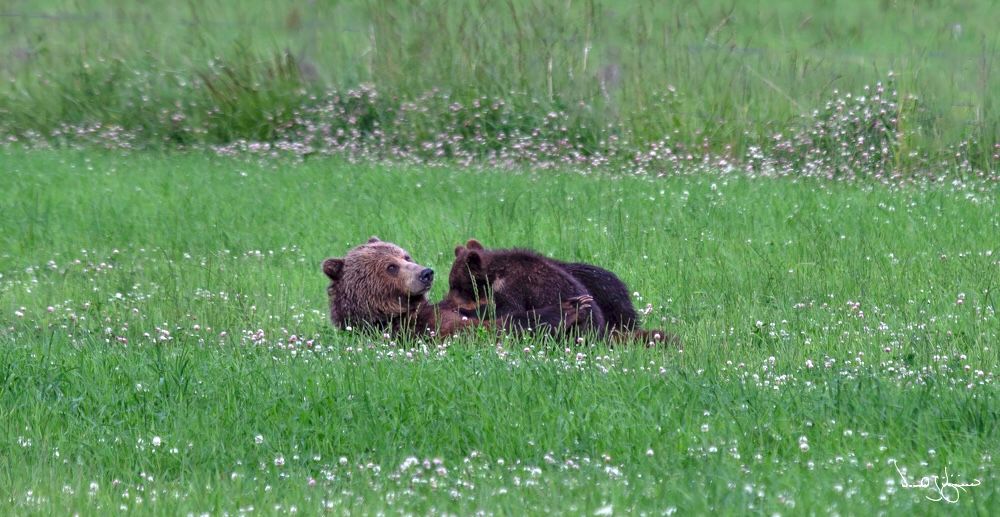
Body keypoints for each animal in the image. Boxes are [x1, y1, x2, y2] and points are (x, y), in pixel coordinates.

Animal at [448, 240, 676, 344]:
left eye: (455, 284)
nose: (447, 300)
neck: (494, 273)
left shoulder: (513, 286)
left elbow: (506, 310)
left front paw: (470, 312)